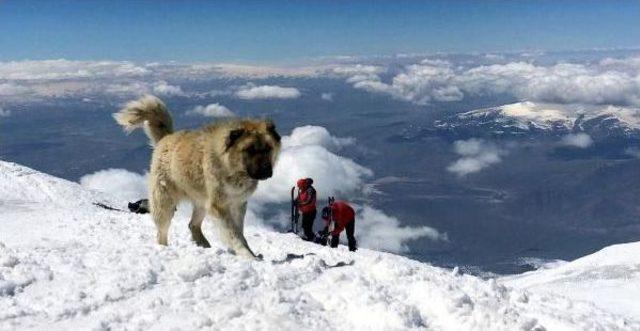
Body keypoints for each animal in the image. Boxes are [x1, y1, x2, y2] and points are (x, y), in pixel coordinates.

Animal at [113, 96, 282, 260]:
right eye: (249, 149)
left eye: (268, 148)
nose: (266, 171)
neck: (230, 167)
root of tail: (166, 138)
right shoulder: (219, 206)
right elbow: (233, 234)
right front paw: (248, 256)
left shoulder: (238, 203)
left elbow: (239, 231)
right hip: (165, 203)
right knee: (161, 233)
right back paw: (165, 248)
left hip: (201, 202)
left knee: (192, 224)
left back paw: (203, 243)